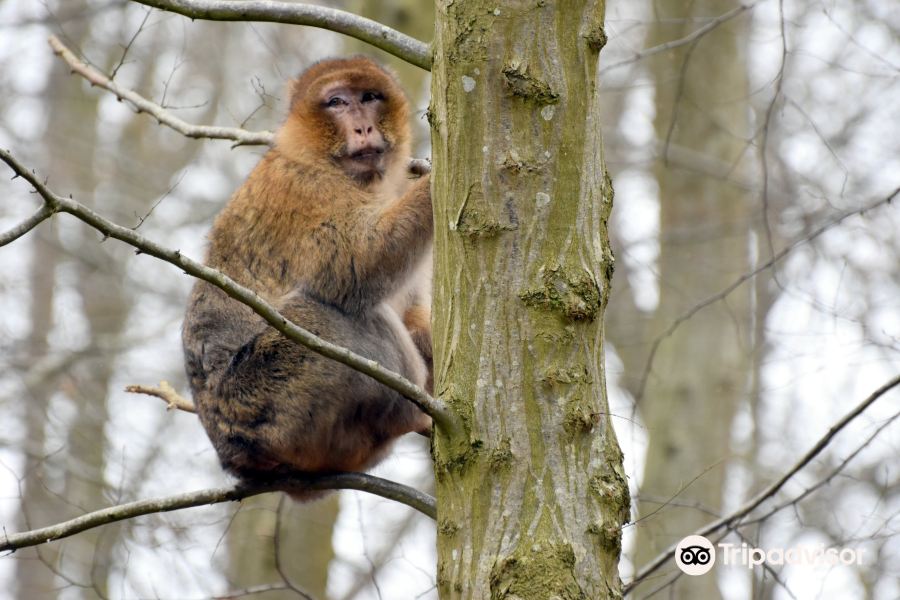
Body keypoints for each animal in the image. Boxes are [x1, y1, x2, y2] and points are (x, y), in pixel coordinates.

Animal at [181, 57, 434, 496]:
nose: (363, 127)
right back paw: (413, 412)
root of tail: (235, 459)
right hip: (267, 401)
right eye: (337, 102)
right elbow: (356, 266)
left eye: (370, 97)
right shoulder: (302, 187)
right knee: (325, 310)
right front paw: (437, 181)